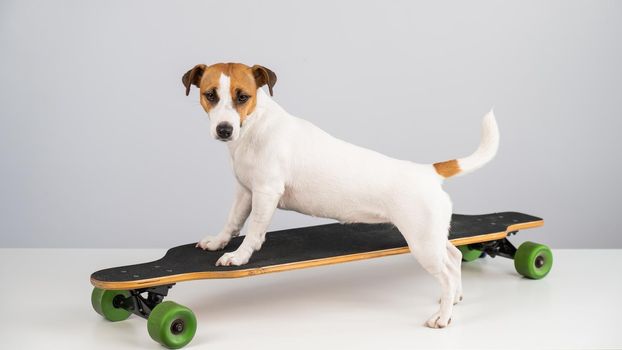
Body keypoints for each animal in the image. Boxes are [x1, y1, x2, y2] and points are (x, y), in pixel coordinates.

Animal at [183, 61, 500, 326]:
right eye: (210, 95)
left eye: (242, 96)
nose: (224, 130)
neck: (254, 126)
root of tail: (429, 172)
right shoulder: (245, 192)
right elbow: (232, 222)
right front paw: (218, 242)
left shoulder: (265, 192)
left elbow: (253, 232)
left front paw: (239, 256)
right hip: (432, 237)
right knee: (454, 257)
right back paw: (454, 298)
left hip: (422, 244)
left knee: (445, 273)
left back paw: (442, 316)